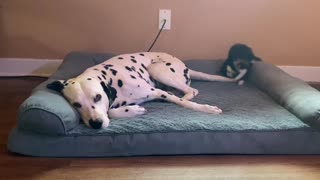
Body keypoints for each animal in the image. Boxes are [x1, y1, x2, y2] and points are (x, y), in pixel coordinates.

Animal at [47, 52, 245, 129]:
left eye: (97, 97)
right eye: (76, 105)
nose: (95, 123)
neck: (113, 80)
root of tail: (185, 65)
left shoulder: (156, 91)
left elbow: (186, 104)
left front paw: (206, 109)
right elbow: (111, 111)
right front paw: (133, 110)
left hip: (157, 69)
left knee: (191, 90)